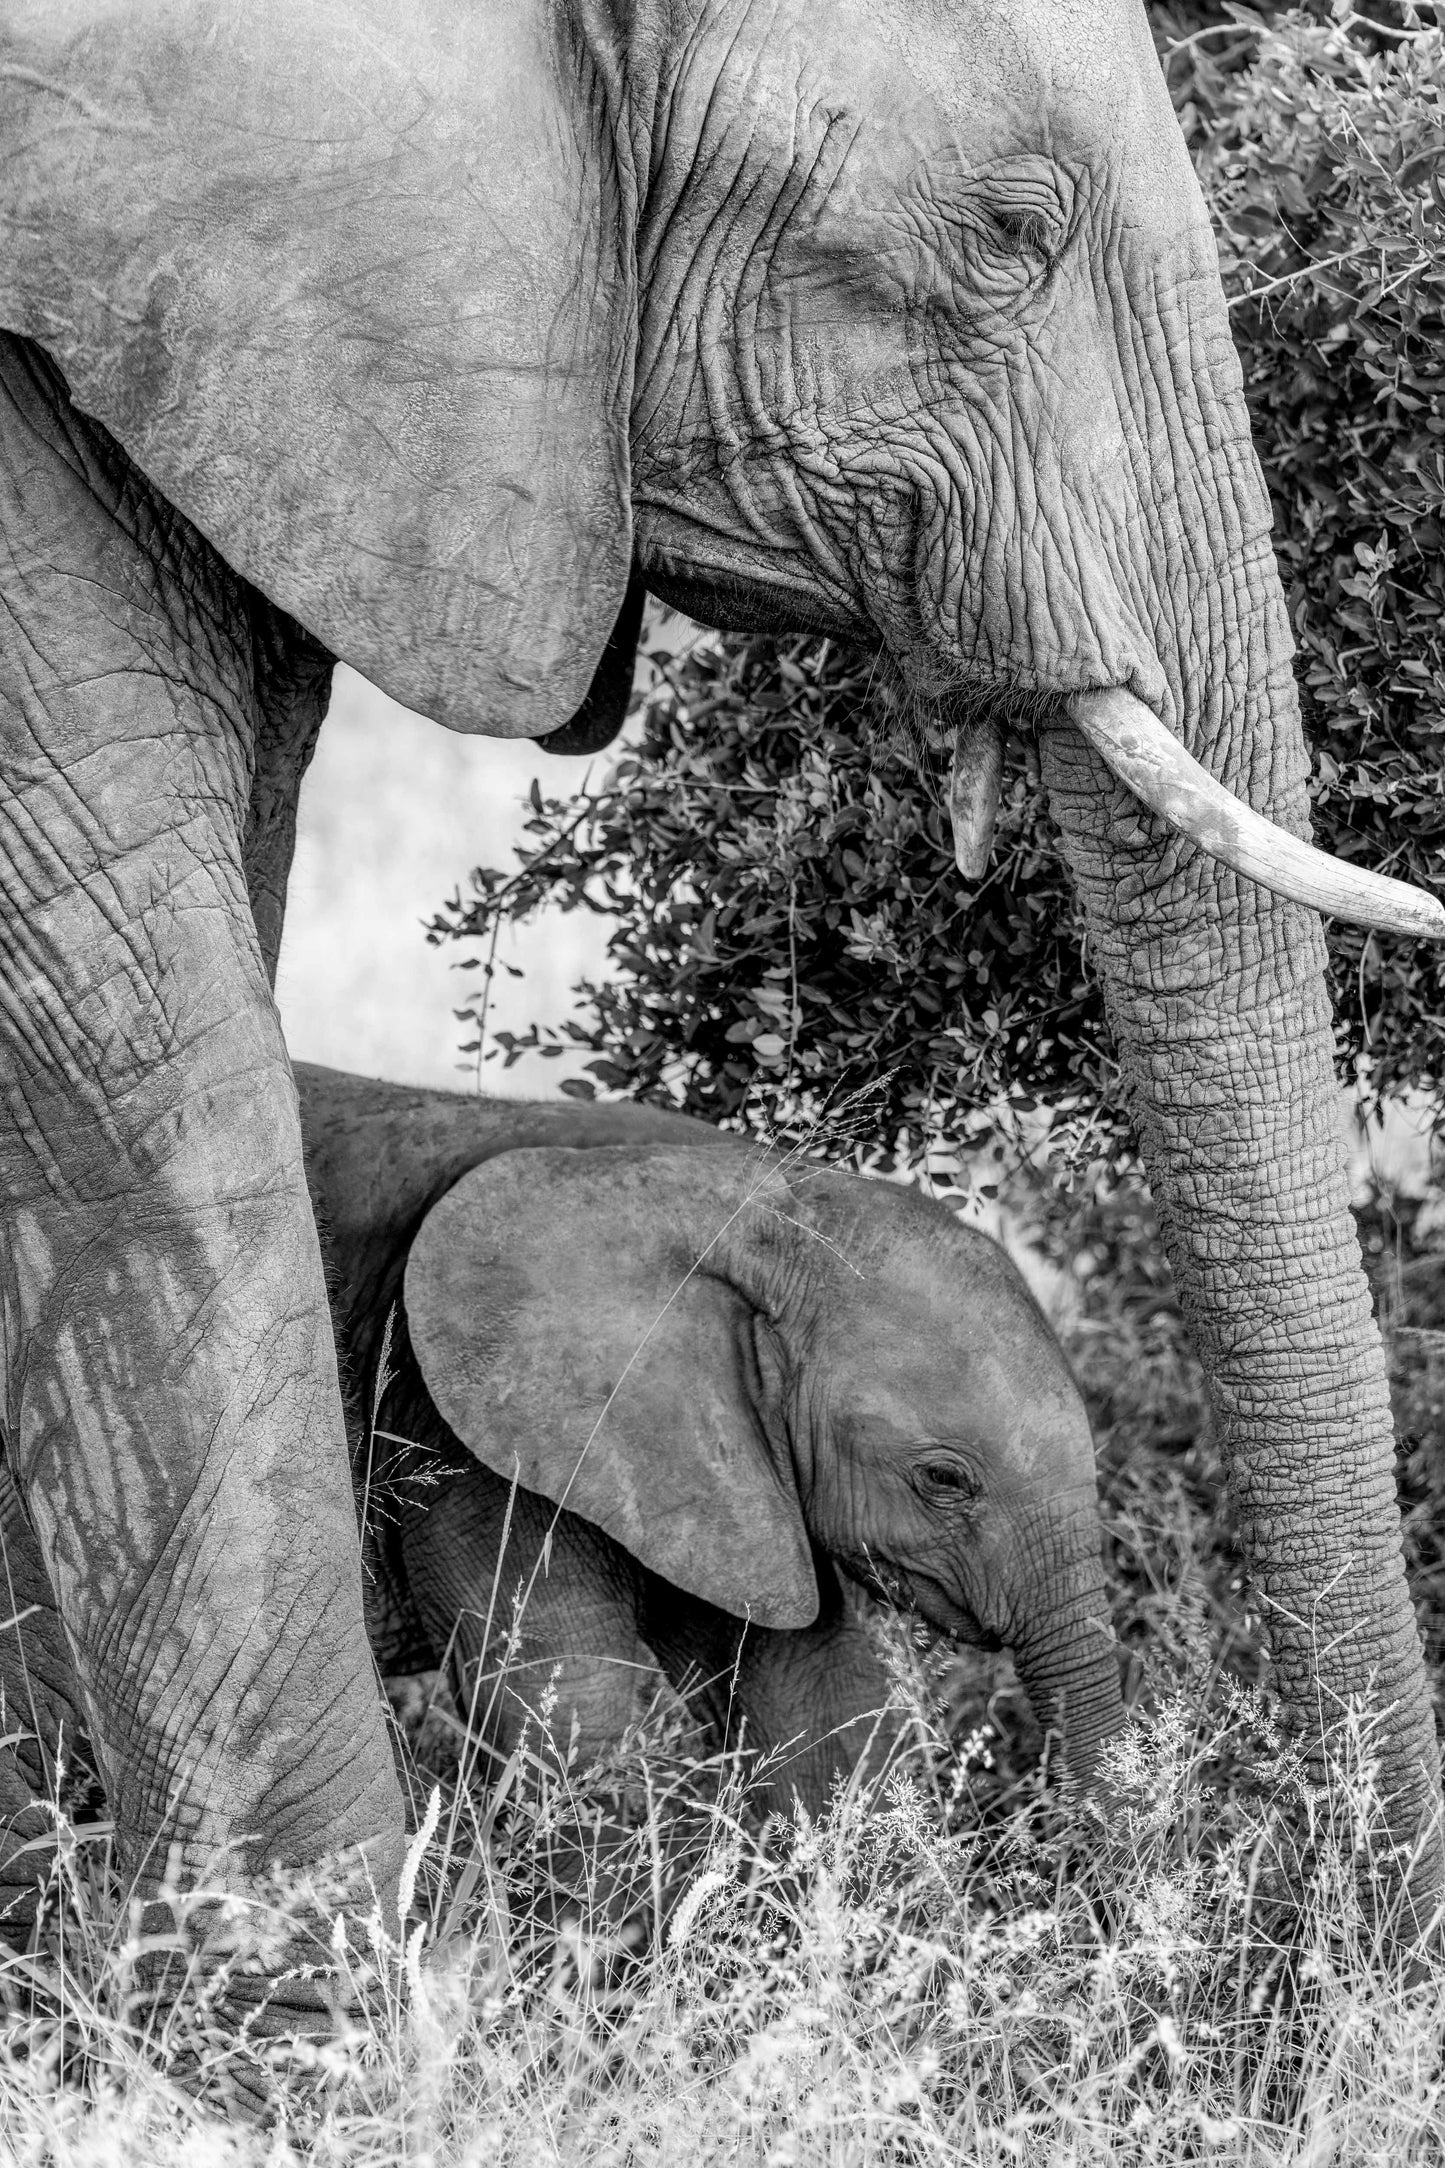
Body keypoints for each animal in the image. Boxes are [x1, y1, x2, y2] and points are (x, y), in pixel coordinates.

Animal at [0, 0, 1441, 2025]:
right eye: (1009, 236)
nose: (1305, 1972)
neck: (734, 1208)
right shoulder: (471, 1450)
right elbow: (132, 1040)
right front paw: (321, 2025)